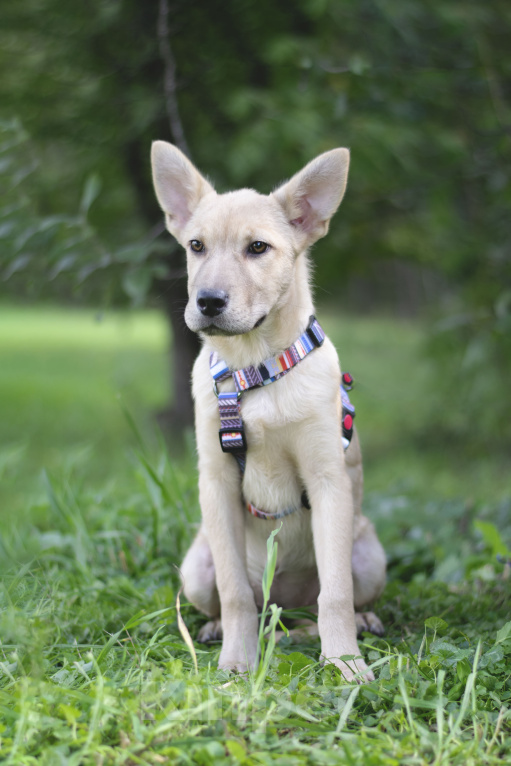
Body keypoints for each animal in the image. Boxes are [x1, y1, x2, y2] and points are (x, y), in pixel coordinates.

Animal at [150, 142, 386, 684]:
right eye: (195, 246)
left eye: (258, 248)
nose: (207, 301)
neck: (255, 371)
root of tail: (286, 606)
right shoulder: (216, 483)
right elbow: (235, 592)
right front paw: (237, 661)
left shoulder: (327, 480)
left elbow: (335, 594)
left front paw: (346, 664)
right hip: (196, 567)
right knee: (242, 600)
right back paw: (220, 629)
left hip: (369, 554)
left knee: (329, 600)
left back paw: (356, 622)